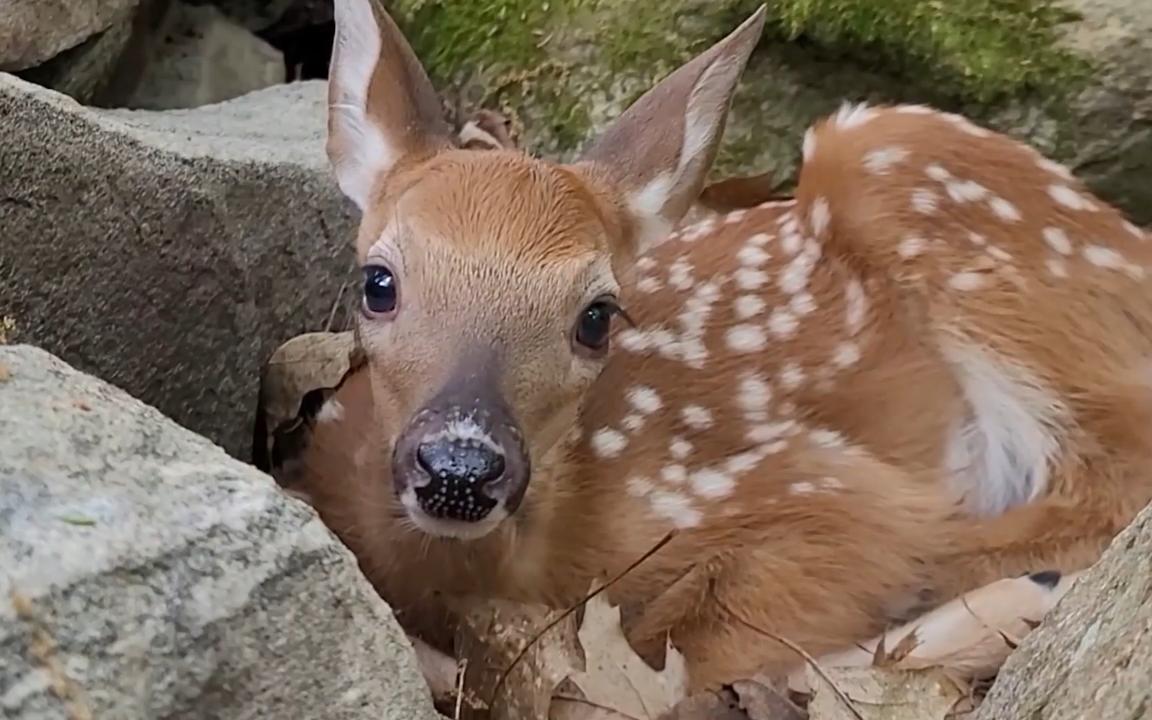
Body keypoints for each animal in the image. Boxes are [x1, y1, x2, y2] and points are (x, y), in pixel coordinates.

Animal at [292, 0, 1152, 693]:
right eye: (378, 281)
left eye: (597, 315)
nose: (460, 467)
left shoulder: (814, 491)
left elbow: (708, 651)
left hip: (908, 170)